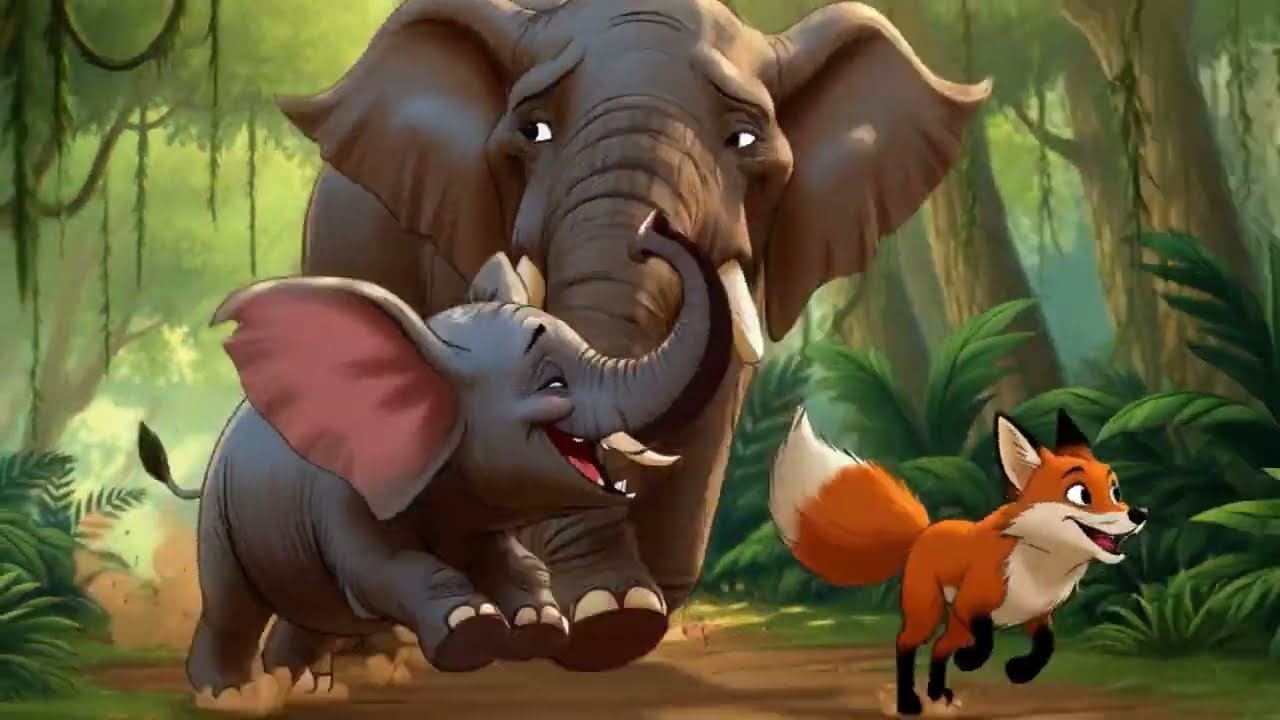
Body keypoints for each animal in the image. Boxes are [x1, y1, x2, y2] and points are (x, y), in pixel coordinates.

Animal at [134, 214, 732, 708]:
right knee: (232, 602)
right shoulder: (349, 492)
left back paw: (308, 689)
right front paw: (473, 631)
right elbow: (384, 567)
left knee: (312, 609)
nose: (647, 234)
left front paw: (537, 624)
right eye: (553, 383)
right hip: (223, 508)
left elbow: (512, 560)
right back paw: (231, 697)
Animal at [768, 407, 1147, 716]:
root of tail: (924, 531)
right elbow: (987, 640)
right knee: (907, 644)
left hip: (949, 623)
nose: (1139, 513)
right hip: (928, 612)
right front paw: (973, 661)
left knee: (939, 647)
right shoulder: (972, 605)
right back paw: (909, 703)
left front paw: (1020, 671)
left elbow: (1045, 648)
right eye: (1081, 494)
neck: (1038, 567)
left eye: (1115, 491)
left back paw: (938, 693)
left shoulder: (1037, 614)